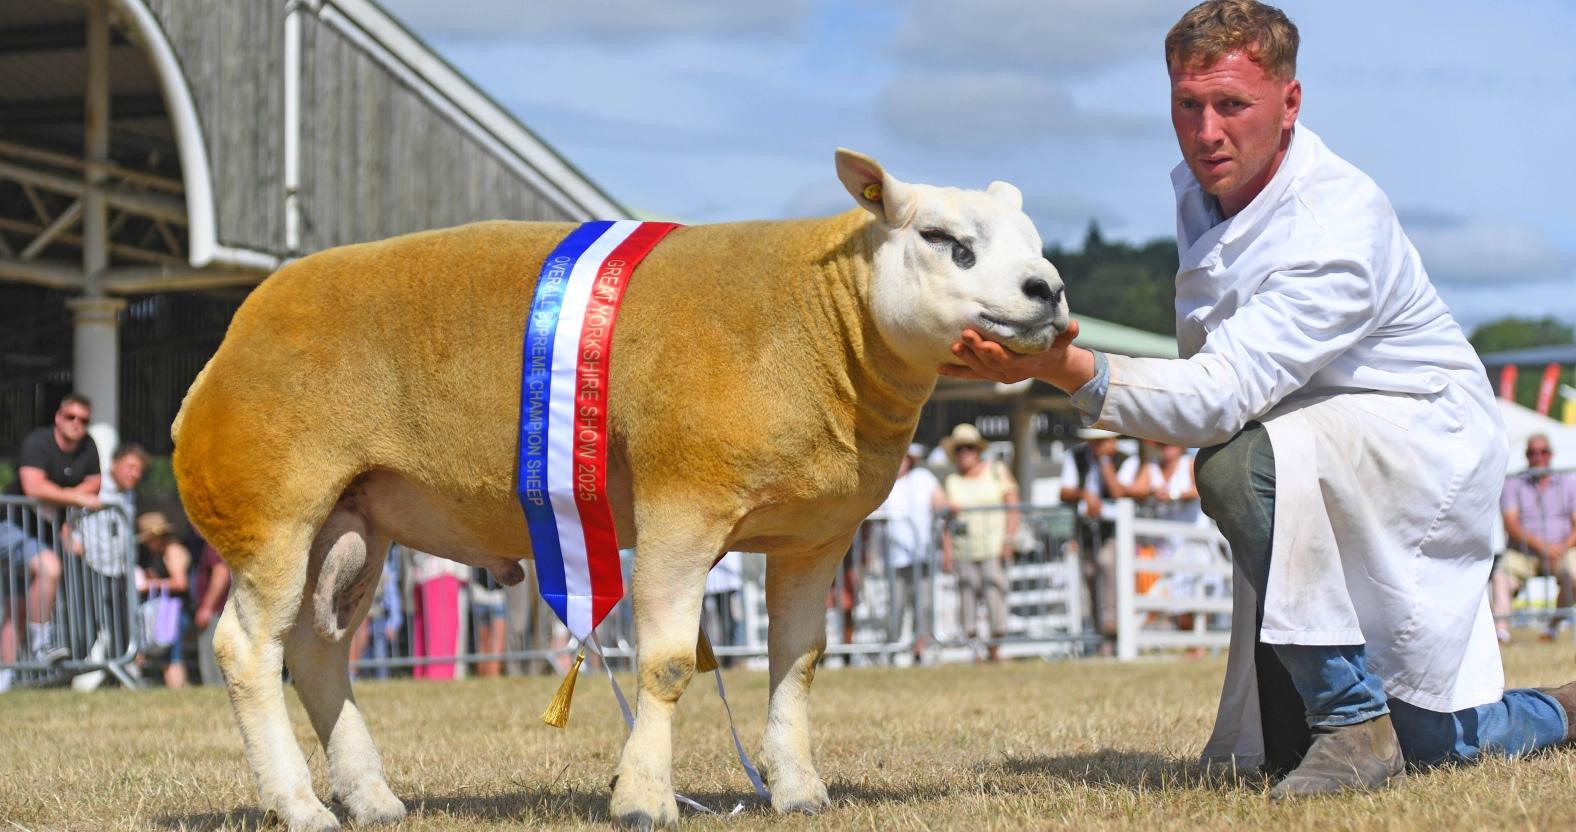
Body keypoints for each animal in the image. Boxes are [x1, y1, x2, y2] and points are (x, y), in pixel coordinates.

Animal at [171, 149, 1067, 829]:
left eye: (1032, 242)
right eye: (943, 238)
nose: (1048, 292)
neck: (820, 324)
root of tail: (229, 343)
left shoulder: (815, 537)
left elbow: (800, 662)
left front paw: (798, 789)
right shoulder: (682, 507)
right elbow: (667, 664)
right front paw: (642, 798)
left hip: (354, 520)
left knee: (316, 649)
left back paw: (369, 799)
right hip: (273, 511)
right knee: (247, 650)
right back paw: (299, 806)